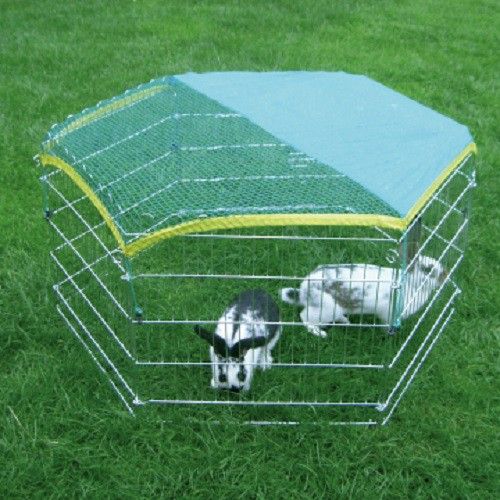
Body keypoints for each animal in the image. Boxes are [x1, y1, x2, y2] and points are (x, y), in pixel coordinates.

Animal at [281, 255, 447, 338]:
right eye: (428, 269)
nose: (445, 275)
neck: (411, 282)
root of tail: (304, 289)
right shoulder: (389, 315)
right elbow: (387, 326)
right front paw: (389, 335)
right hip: (325, 309)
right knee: (304, 317)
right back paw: (320, 333)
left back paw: (345, 321)